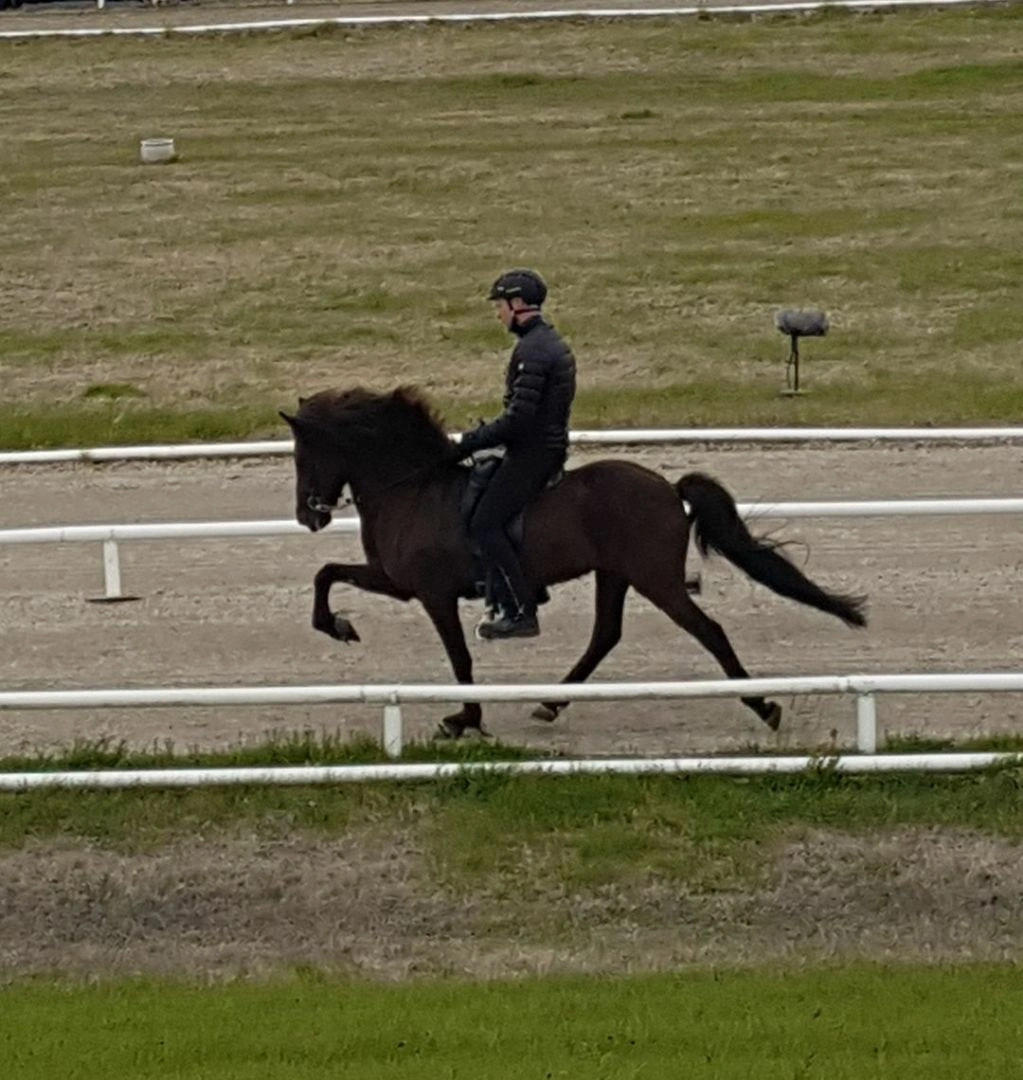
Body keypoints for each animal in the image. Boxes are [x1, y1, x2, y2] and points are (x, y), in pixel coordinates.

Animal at [279, 385, 867, 739]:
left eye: (304, 453)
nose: (307, 515)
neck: (414, 488)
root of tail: (666, 488)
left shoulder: (431, 594)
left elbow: (459, 660)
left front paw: (465, 718)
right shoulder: (396, 582)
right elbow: (325, 573)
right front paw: (338, 626)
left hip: (656, 580)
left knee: (709, 631)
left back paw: (762, 705)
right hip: (615, 575)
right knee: (606, 634)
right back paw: (550, 703)